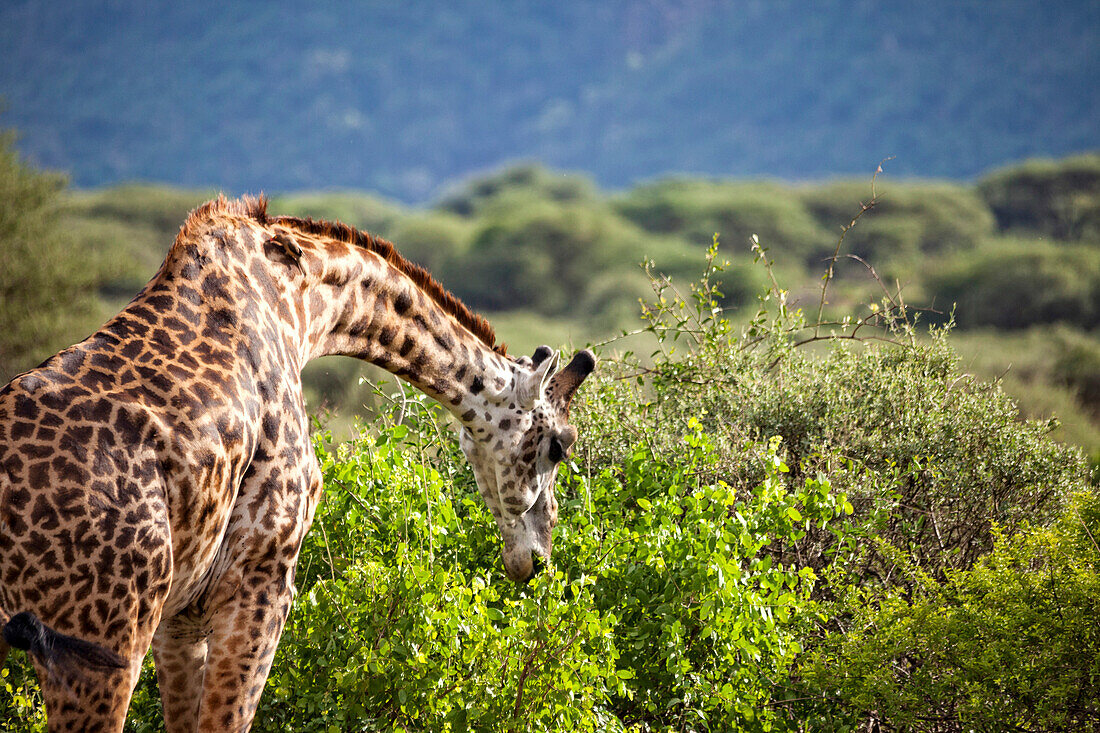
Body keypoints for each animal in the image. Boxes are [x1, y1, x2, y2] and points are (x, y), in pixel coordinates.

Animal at [0, 195, 594, 730]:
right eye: (559, 444)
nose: (536, 559)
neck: (304, 307)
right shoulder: (263, 574)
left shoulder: (182, 612)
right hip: (103, 632)